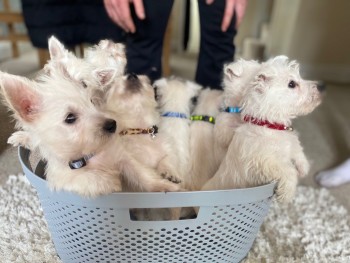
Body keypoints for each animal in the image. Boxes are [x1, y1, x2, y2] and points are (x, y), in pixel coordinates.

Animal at [201, 55, 324, 203]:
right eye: (292, 84)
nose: (321, 87)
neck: (269, 125)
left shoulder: (290, 142)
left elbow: (297, 150)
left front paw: (304, 168)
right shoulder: (263, 161)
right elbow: (288, 170)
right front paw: (287, 194)